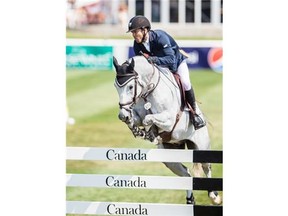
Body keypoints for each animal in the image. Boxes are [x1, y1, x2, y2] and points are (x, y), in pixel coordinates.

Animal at [112, 55, 220, 204]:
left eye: (130, 86)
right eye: (116, 86)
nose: (122, 115)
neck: (148, 91)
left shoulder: (169, 119)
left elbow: (149, 119)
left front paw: (150, 134)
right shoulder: (137, 115)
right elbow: (137, 120)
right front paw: (139, 130)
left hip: (202, 146)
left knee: (206, 166)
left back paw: (214, 196)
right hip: (170, 158)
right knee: (186, 174)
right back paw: (190, 200)